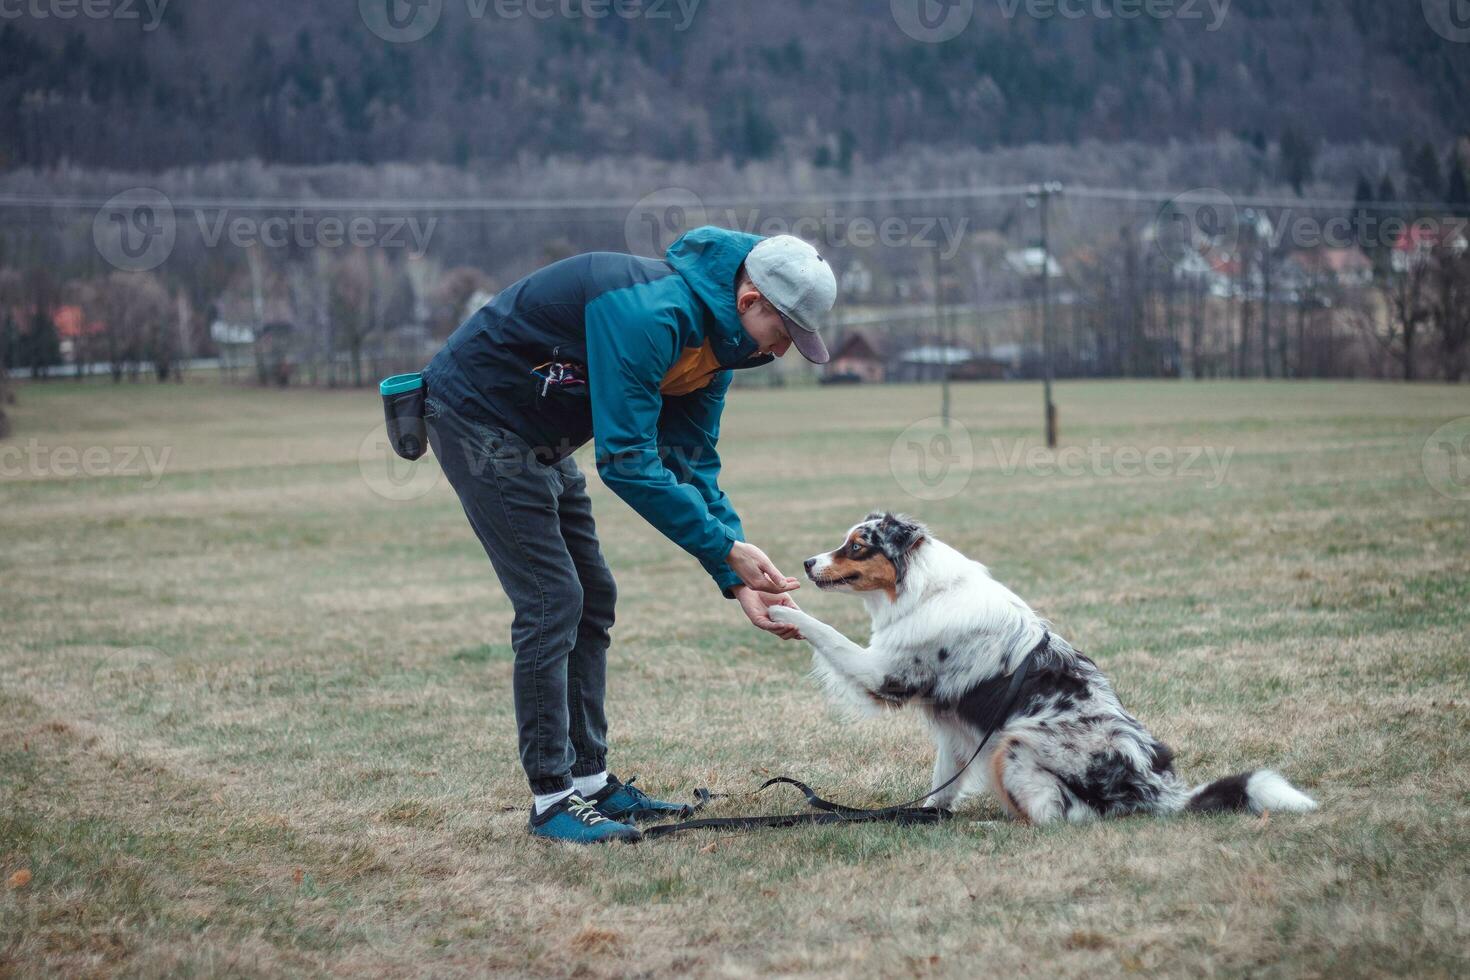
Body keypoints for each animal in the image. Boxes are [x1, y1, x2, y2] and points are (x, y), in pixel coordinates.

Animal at [770, 517, 1323, 822]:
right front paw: (926, 818)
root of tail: (1155, 788)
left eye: (857, 545)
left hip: (1015, 743)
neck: (925, 589)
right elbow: (943, 784)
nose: (806, 562)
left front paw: (780, 609)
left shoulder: (884, 674)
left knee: (1059, 818)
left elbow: (827, 633)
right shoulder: (954, 730)